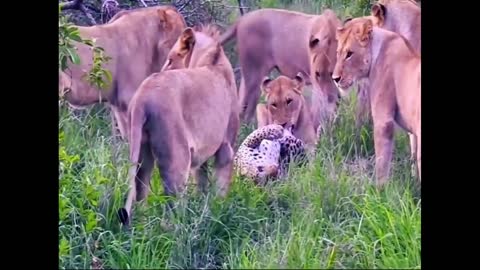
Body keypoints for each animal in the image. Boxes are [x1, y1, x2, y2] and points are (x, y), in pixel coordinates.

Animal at [117, 25, 240, 226]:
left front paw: (204, 210)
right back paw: (184, 229)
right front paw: (219, 211)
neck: (213, 60)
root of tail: (142, 96)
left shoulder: (202, 156)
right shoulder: (226, 148)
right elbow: (220, 188)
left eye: (170, 60)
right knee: (173, 209)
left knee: (140, 188)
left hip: (143, 150)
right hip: (177, 158)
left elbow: (202, 183)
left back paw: (142, 226)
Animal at [334, 17, 420, 186]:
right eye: (338, 53)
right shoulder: (412, 131)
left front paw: (379, 189)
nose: (335, 78)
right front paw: (415, 183)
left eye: (349, 54)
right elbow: (414, 157)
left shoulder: (383, 121)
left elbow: (381, 162)